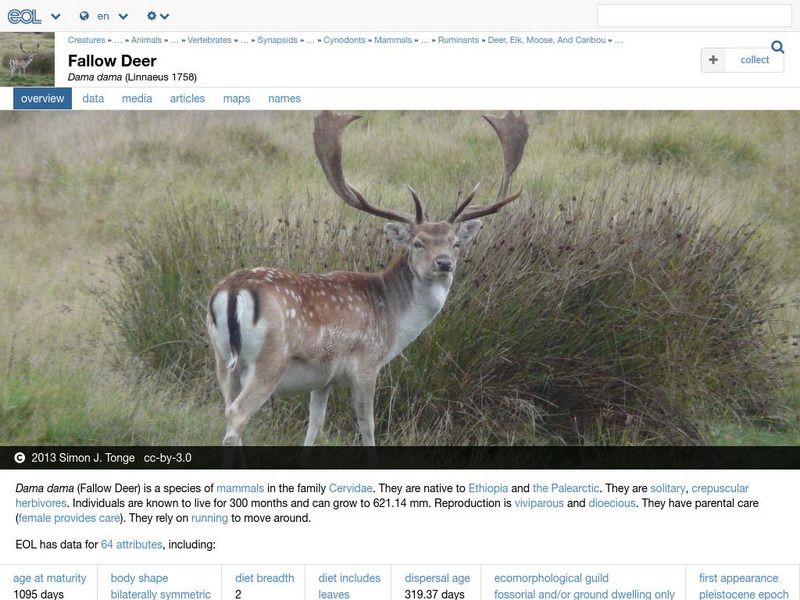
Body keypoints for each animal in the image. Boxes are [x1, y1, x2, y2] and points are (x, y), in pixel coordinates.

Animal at [207, 111, 529, 446]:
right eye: (417, 243)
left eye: (455, 243)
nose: (444, 263)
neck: (393, 323)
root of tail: (232, 290)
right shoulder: (366, 363)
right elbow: (367, 425)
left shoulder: (324, 377)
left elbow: (315, 423)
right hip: (271, 358)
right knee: (237, 414)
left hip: (222, 358)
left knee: (227, 406)